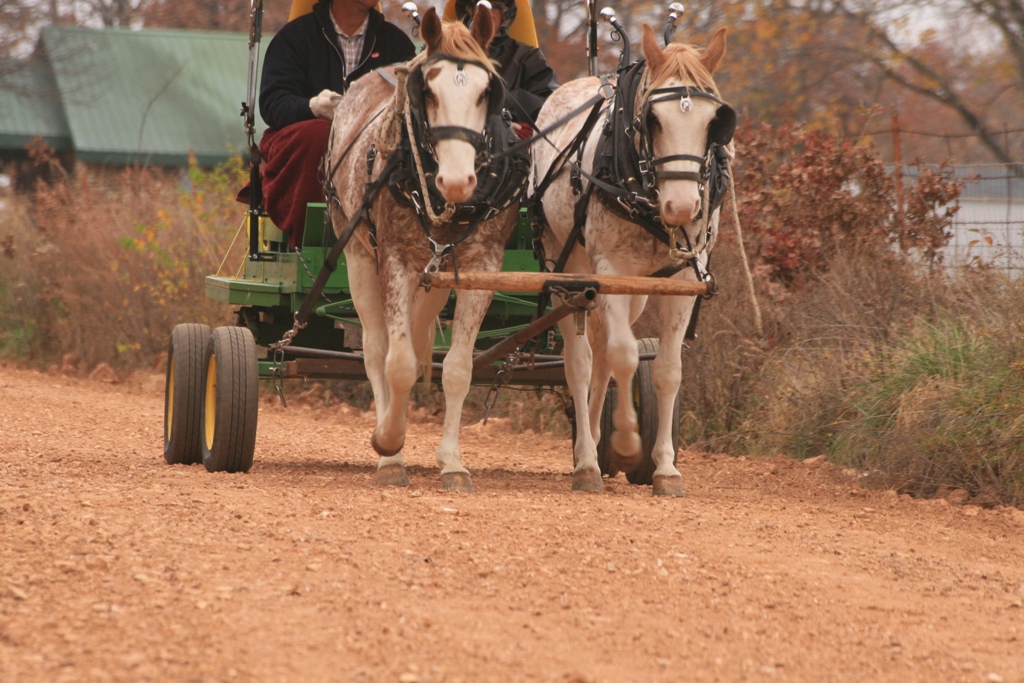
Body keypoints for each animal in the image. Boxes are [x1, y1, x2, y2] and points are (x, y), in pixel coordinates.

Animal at [325, 7, 520, 493]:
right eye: (427, 90)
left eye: (487, 90)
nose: (457, 181)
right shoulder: (393, 260)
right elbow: (395, 362)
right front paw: (389, 446)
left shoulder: (482, 267)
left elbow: (457, 368)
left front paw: (452, 463)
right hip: (358, 256)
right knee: (377, 349)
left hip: (436, 278)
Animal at [532, 26, 733, 493]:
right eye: (652, 120)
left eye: (714, 123)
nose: (682, 207)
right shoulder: (610, 272)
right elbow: (624, 355)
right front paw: (626, 443)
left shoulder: (680, 282)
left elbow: (667, 370)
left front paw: (665, 468)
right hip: (566, 272)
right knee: (581, 363)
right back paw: (588, 461)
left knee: (601, 358)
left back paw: (590, 446)